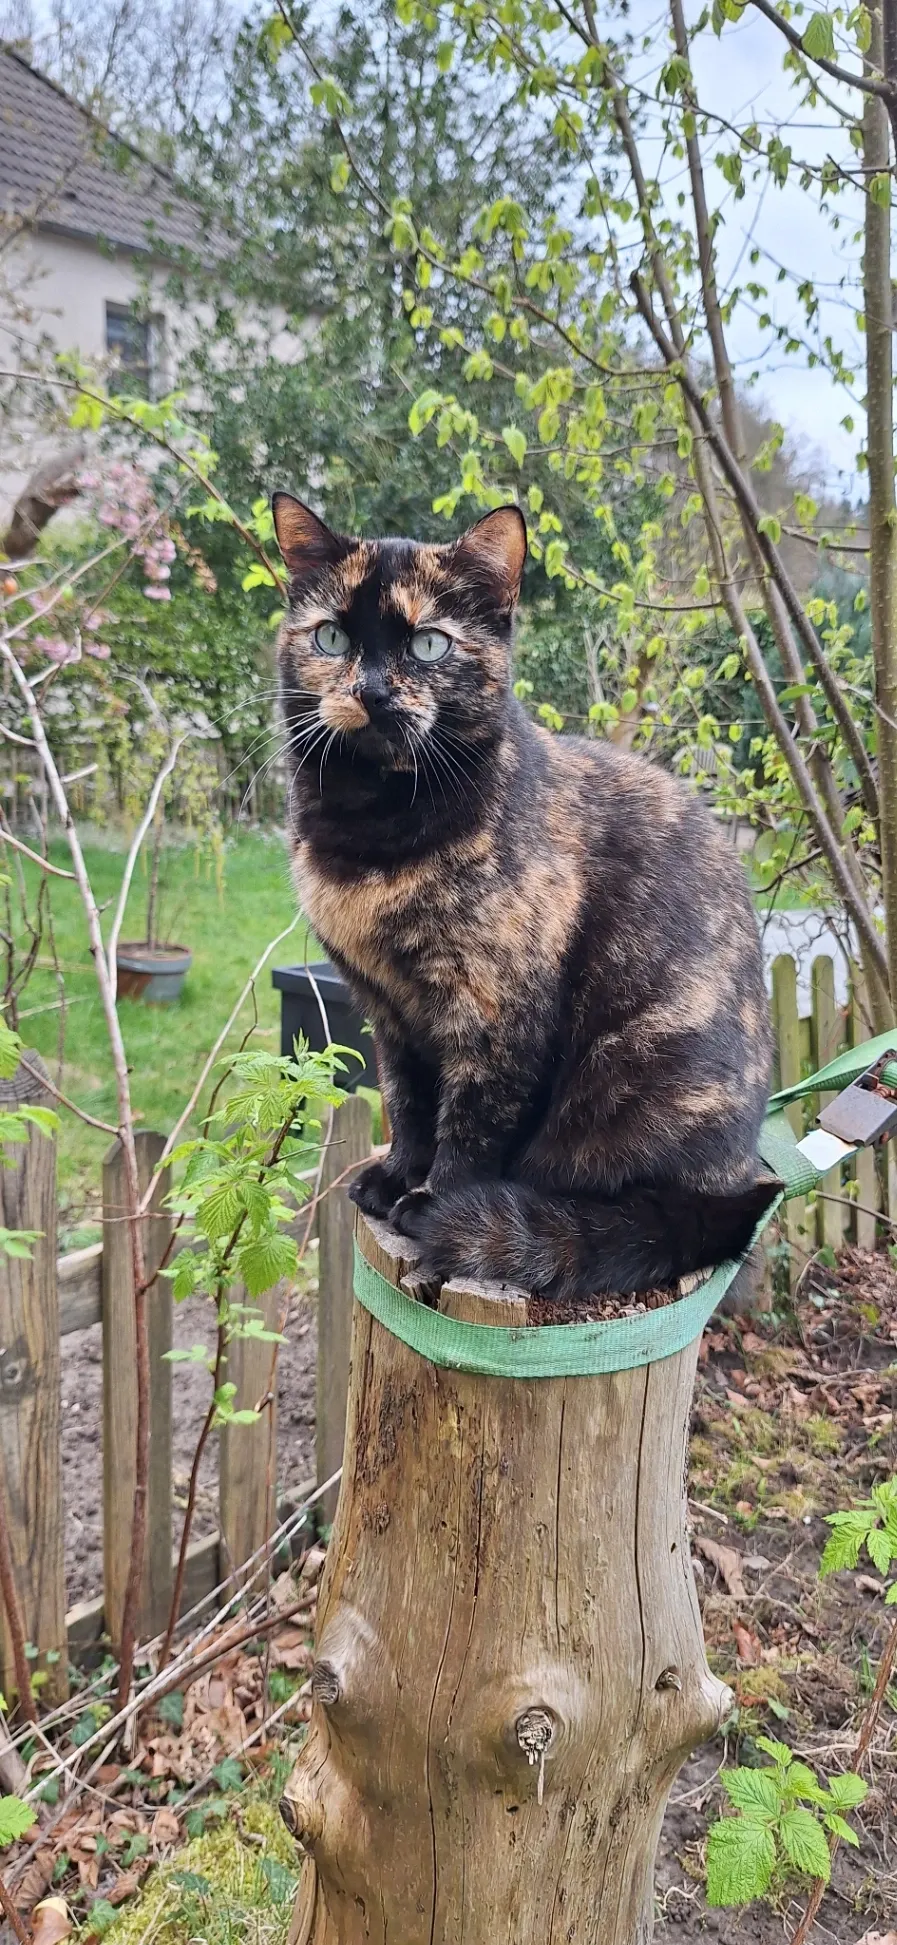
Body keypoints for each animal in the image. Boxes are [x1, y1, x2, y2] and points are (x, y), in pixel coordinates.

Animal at [273, 492, 776, 1301]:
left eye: (429, 646)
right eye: (330, 635)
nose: (370, 690)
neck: (373, 831)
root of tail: (731, 1193)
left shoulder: (495, 1013)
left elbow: (472, 1123)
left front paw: (434, 1203)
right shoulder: (389, 1011)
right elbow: (408, 1102)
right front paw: (397, 1177)